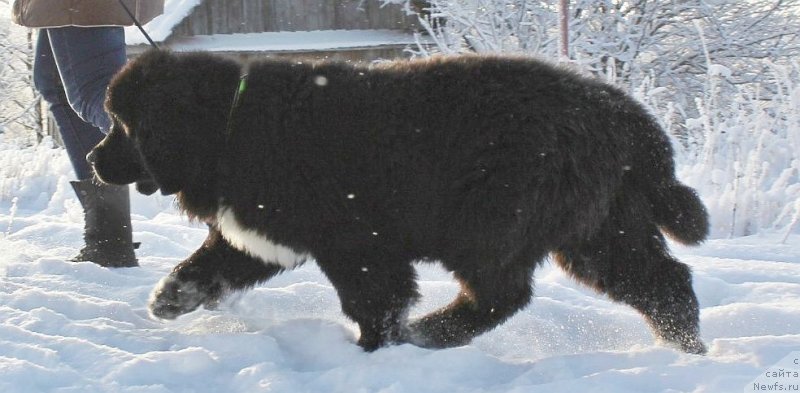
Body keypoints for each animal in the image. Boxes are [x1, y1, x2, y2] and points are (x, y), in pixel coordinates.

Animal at [90, 49, 708, 352]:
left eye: (123, 126)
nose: (94, 160)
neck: (230, 123)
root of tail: (622, 114)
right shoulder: (262, 238)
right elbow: (207, 266)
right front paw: (169, 300)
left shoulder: (357, 245)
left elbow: (376, 303)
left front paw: (374, 349)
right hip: (601, 231)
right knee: (663, 281)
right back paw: (685, 346)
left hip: (493, 223)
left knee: (501, 296)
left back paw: (431, 334)